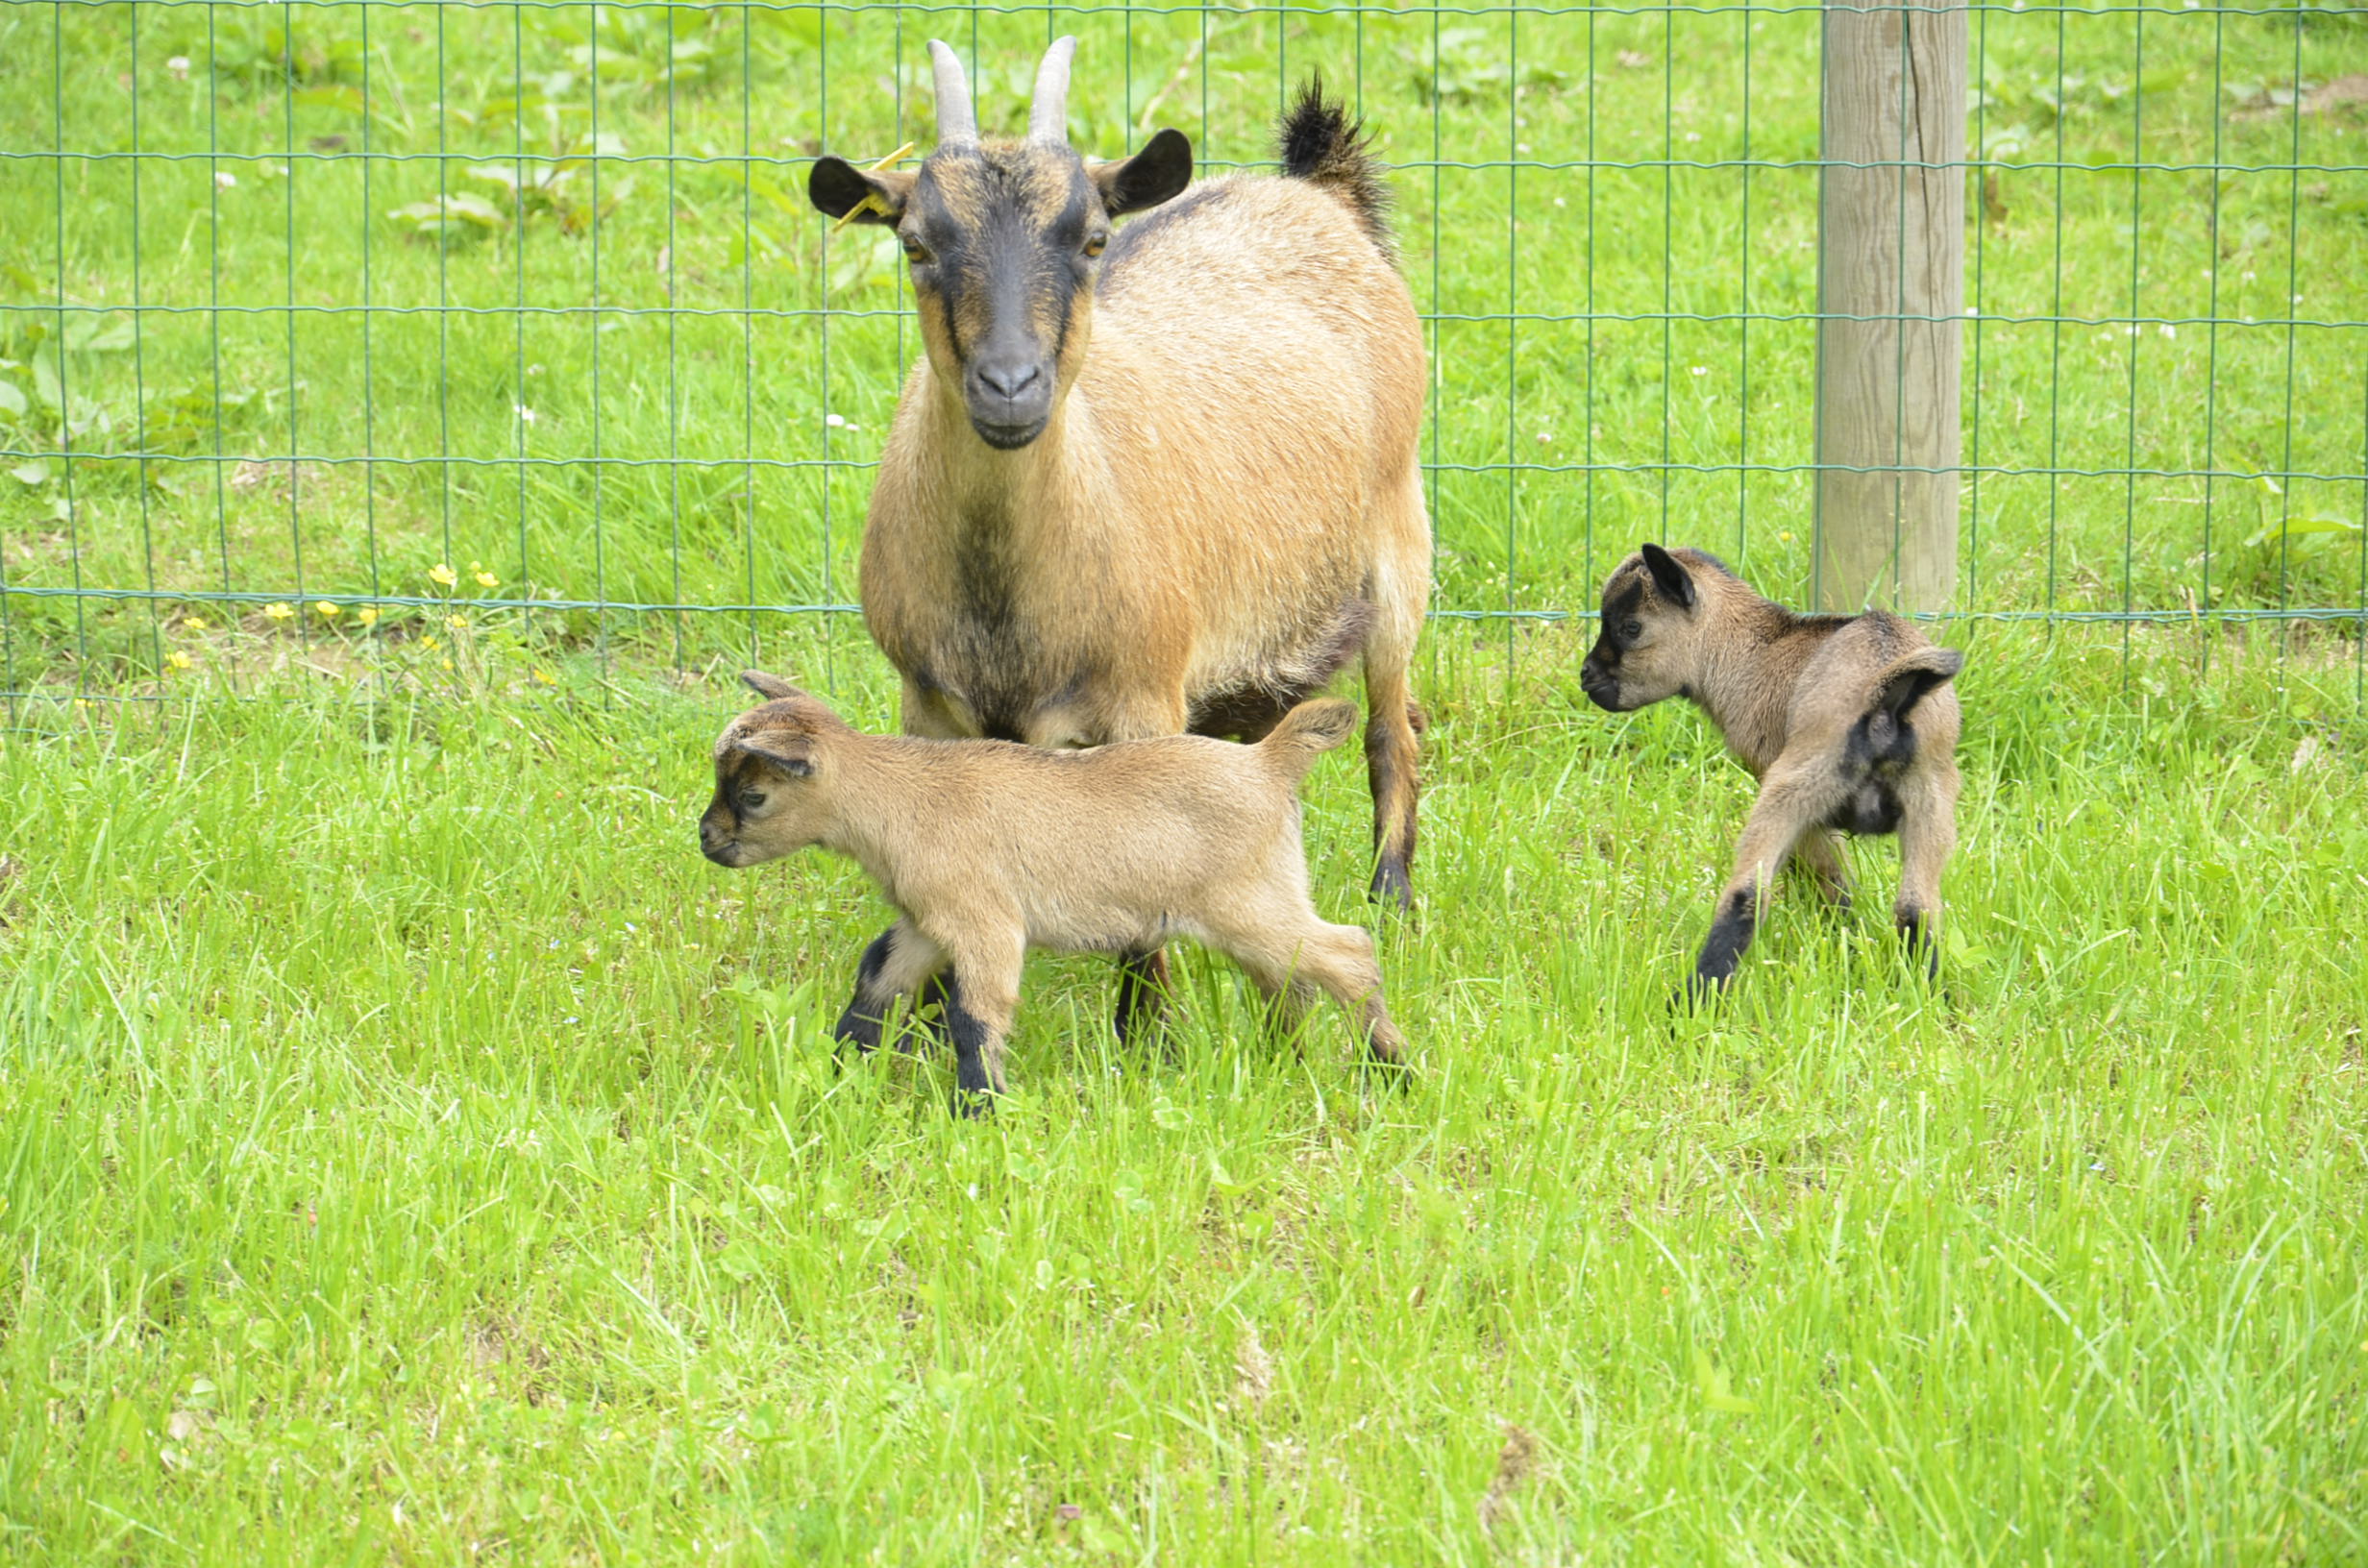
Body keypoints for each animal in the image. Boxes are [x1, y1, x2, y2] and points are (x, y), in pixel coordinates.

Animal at [696, 673, 1401, 1103]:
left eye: (753, 796)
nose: (706, 838)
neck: (902, 799)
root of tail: (1269, 761)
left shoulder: (985, 925)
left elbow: (975, 1016)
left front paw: (978, 1111)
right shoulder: (927, 927)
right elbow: (875, 985)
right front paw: (838, 1072)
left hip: (1249, 906)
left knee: (1351, 956)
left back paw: (1393, 1072)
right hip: (1264, 905)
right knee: (1292, 980)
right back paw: (1289, 1061)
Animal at [804, 46, 1430, 1056]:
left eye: (1094, 238)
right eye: (915, 244)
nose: (1010, 385)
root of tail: (1312, 191)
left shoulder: (1144, 699)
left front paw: (1148, 1037)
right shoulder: (927, 703)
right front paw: (929, 1026)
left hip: (1401, 549)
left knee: (1391, 730)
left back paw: (1395, 899)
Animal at [1581, 547, 1970, 999]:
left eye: (1631, 626)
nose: (1586, 675)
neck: (1752, 652)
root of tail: (1887, 697)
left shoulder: (1793, 801)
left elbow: (1829, 883)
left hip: (1797, 784)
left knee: (1749, 894)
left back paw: (1690, 1000)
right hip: (1930, 797)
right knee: (1916, 908)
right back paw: (1929, 995)